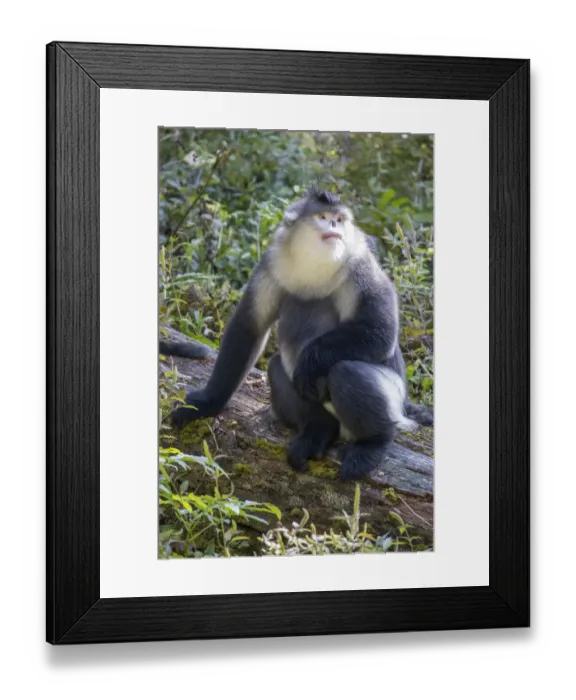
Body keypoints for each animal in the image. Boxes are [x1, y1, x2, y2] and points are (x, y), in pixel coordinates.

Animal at [163, 187, 433, 481]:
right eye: (323, 217)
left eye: (339, 219)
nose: (334, 225)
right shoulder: (270, 265)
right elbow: (248, 328)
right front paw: (208, 403)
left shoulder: (360, 263)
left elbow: (380, 331)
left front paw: (311, 360)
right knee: (277, 364)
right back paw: (319, 430)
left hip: (393, 396)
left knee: (344, 371)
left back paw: (372, 443)